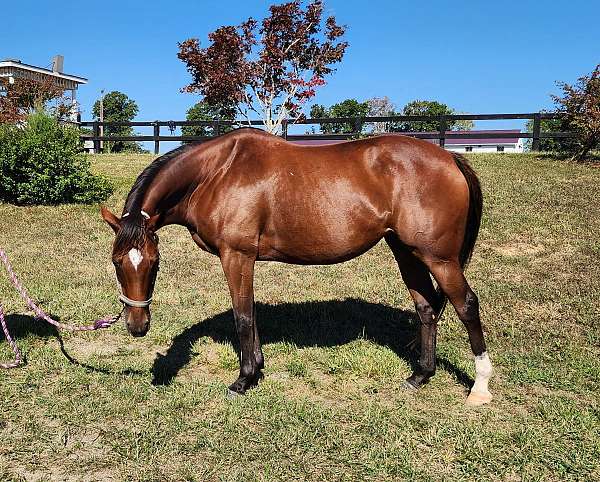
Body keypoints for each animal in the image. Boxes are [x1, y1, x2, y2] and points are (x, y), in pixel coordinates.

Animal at [102, 126, 492, 404]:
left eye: (154, 263)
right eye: (117, 262)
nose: (136, 325)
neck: (216, 172)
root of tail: (450, 158)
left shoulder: (236, 255)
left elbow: (243, 315)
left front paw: (243, 380)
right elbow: (250, 312)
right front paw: (256, 370)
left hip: (439, 258)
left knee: (466, 305)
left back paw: (480, 387)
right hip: (405, 250)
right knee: (426, 307)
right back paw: (420, 375)